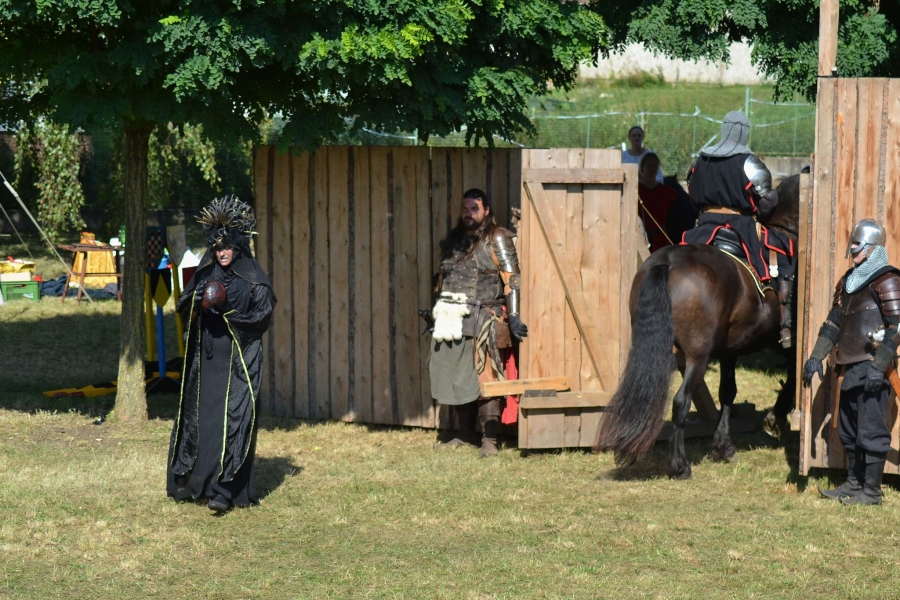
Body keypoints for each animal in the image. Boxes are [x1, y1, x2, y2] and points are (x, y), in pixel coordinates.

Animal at [593, 175, 800, 479]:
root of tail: (666, 263)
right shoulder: (786, 346)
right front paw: (775, 416)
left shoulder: (730, 352)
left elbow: (728, 392)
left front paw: (723, 446)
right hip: (697, 356)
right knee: (680, 401)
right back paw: (679, 465)